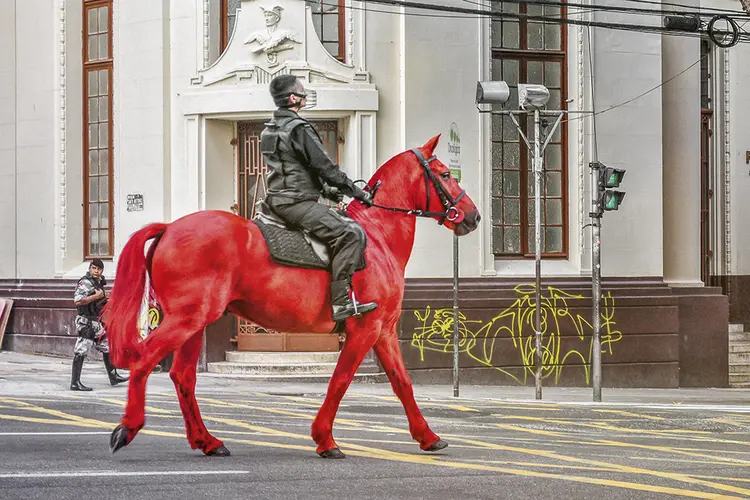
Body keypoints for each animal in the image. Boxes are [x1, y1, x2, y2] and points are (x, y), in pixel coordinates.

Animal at [103, 135, 482, 458]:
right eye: (445, 174)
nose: (474, 216)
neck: (377, 235)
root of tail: (169, 227)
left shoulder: (384, 331)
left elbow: (402, 383)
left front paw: (427, 436)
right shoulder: (365, 329)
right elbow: (340, 381)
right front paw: (325, 439)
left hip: (194, 324)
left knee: (183, 377)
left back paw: (207, 440)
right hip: (186, 320)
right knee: (144, 360)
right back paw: (130, 426)